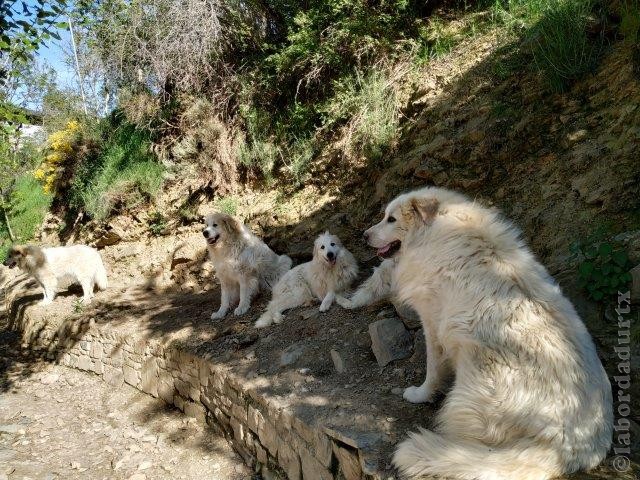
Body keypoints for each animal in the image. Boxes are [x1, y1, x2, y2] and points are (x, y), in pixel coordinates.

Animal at [362, 187, 612, 480]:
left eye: (391, 219)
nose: (364, 235)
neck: (435, 233)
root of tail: (564, 451)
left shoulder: (433, 322)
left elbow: (433, 369)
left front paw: (420, 394)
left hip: (479, 372)